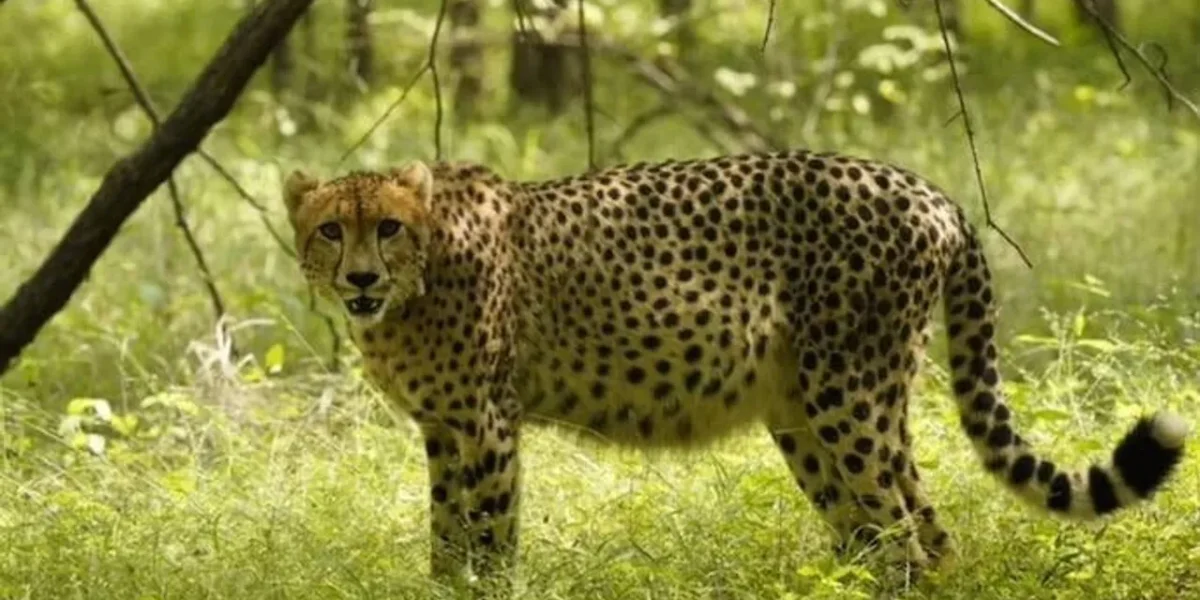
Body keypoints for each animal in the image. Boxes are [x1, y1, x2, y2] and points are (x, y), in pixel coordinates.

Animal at [281, 149, 1187, 593]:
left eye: (387, 227)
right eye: (332, 229)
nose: (359, 279)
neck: (416, 286)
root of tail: (927, 188)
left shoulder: (488, 424)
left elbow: (491, 538)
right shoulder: (443, 429)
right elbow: (445, 537)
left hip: (847, 397)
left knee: (898, 532)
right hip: (809, 413)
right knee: (915, 533)